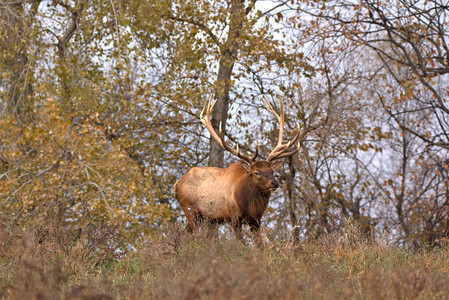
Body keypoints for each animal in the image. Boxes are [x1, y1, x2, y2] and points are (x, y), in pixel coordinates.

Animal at [173, 96, 302, 246]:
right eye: (256, 172)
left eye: (272, 171)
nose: (274, 183)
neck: (248, 204)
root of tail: (176, 184)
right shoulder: (234, 216)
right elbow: (242, 243)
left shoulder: (256, 220)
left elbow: (259, 245)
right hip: (189, 208)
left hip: (205, 217)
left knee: (182, 235)